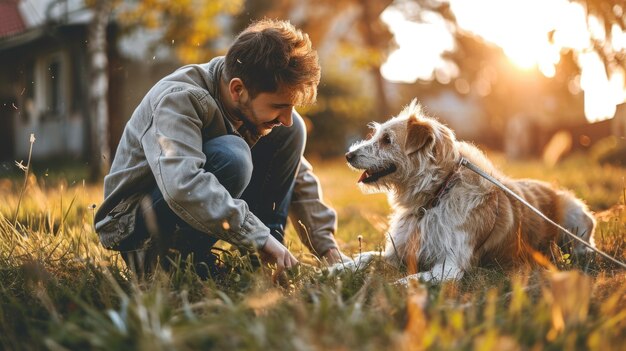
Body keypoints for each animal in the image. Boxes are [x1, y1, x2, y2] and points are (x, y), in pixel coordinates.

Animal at [336, 100, 596, 284]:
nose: (348, 155)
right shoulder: (399, 252)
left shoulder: (451, 265)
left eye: (387, 140)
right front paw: (337, 268)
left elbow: (409, 281)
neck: (437, 194)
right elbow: (368, 256)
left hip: (573, 217)